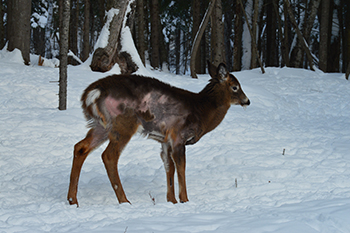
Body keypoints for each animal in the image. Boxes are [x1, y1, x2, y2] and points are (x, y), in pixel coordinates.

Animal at [67, 61, 249, 206]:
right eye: (235, 86)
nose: (247, 101)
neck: (203, 111)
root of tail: (93, 92)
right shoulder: (178, 135)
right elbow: (181, 167)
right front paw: (185, 200)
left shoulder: (165, 140)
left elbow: (169, 168)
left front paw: (172, 200)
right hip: (124, 123)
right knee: (109, 155)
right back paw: (124, 201)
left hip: (101, 125)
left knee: (80, 147)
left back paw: (72, 200)